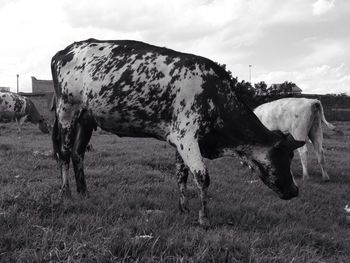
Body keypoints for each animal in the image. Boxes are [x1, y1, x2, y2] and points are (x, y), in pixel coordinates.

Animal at [50, 38, 304, 227]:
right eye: (285, 156)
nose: (295, 190)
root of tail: (64, 51)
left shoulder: (179, 140)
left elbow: (181, 175)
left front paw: (184, 209)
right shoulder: (186, 135)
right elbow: (202, 176)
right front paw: (204, 218)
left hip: (86, 119)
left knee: (78, 154)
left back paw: (84, 192)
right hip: (66, 111)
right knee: (64, 153)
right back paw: (66, 193)